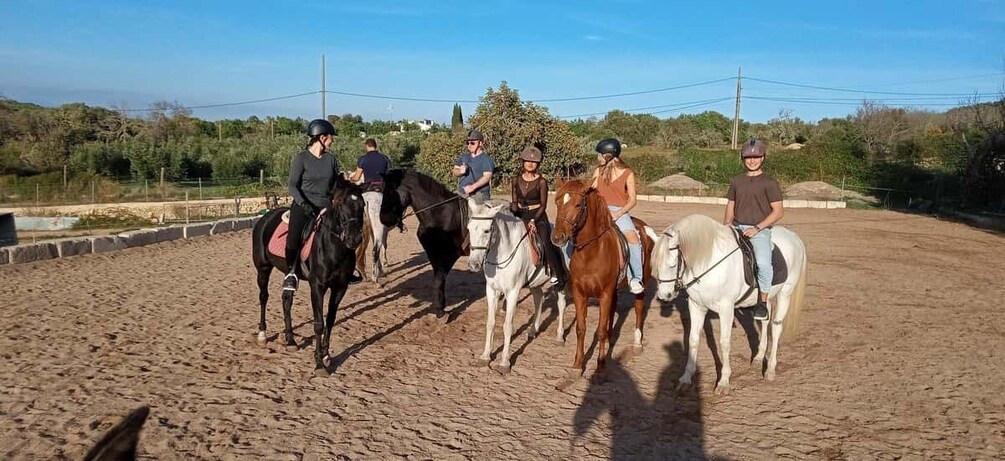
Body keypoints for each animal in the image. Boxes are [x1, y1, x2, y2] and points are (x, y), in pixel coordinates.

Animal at [251, 174, 365, 377]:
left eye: (363, 204)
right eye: (340, 203)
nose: (354, 239)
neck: (335, 247)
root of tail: (266, 217)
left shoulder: (340, 287)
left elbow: (330, 320)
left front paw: (326, 355)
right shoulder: (317, 286)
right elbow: (319, 323)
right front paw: (319, 363)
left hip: (288, 274)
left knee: (286, 299)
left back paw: (290, 340)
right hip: (263, 269)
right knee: (263, 297)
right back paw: (263, 335)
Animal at [377, 169, 468, 317]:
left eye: (391, 192)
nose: (384, 218)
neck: (441, 214)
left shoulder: (450, 254)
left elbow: (439, 278)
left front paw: (441, 311)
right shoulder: (433, 253)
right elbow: (437, 278)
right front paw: (439, 308)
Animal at [466, 198, 570, 375]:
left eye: (487, 231)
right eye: (469, 228)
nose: (474, 264)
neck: (502, 252)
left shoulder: (512, 292)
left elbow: (507, 326)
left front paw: (504, 362)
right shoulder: (491, 290)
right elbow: (490, 323)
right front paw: (485, 356)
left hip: (562, 281)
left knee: (561, 304)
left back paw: (559, 336)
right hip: (535, 283)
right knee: (538, 299)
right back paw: (533, 330)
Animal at [554, 178, 655, 377]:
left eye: (578, 204)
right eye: (557, 202)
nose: (558, 237)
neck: (591, 253)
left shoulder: (605, 294)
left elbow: (599, 331)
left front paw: (600, 364)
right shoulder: (580, 295)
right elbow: (581, 329)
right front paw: (578, 364)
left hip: (642, 283)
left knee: (639, 308)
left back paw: (637, 343)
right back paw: (610, 339)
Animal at [651, 214, 808, 395]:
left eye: (672, 265)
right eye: (655, 265)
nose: (664, 296)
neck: (708, 263)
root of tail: (794, 237)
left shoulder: (726, 309)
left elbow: (724, 344)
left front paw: (723, 382)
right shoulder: (696, 305)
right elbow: (693, 340)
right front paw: (686, 378)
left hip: (785, 294)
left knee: (775, 328)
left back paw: (770, 370)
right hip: (765, 297)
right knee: (765, 321)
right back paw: (758, 359)